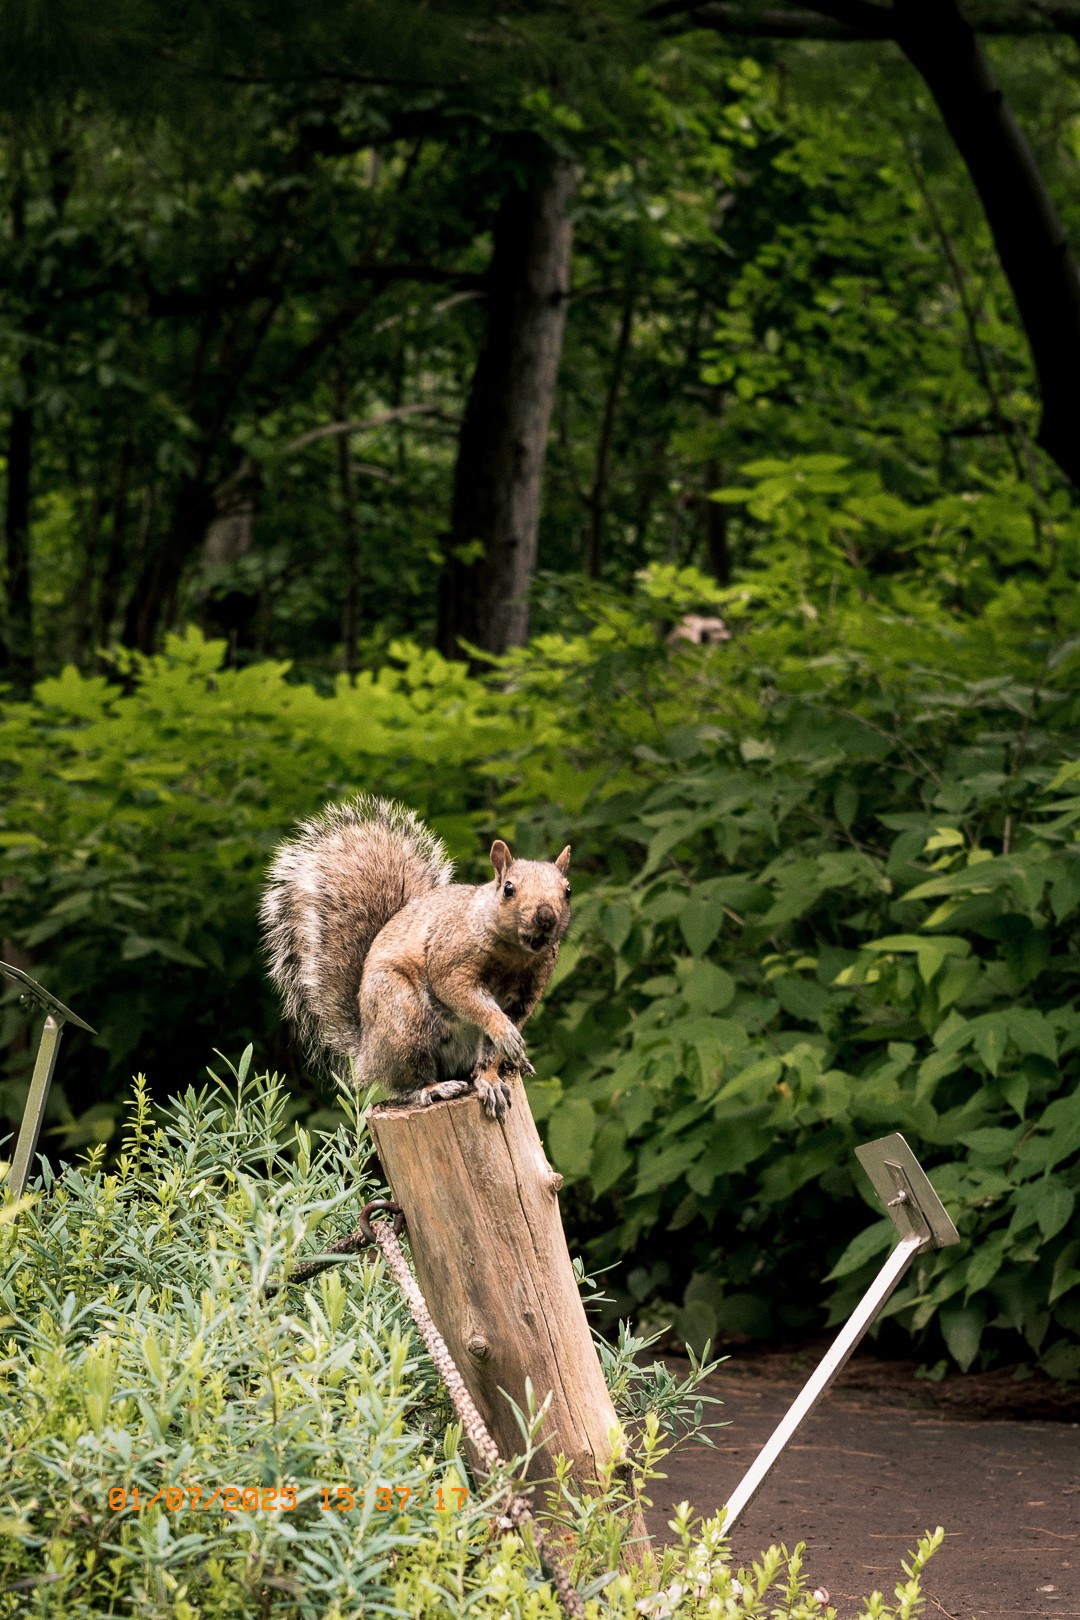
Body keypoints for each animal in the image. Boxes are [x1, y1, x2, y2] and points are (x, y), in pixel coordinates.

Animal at [259, 796, 571, 1121]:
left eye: (568, 891)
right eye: (509, 888)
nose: (546, 917)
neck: (515, 954)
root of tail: (368, 1052)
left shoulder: (526, 992)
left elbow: (492, 1050)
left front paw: (490, 1078)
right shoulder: (450, 962)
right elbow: (466, 997)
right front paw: (503, 1031)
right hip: (404, 1020)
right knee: (406, 1085)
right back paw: (432, 1089)